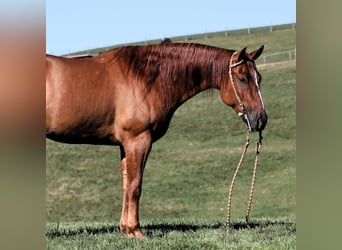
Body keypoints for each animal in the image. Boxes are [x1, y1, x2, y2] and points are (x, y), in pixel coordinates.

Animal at [45, 42, 268, 236]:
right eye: (242, 78)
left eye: (259, 78)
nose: (261, 119)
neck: (145, 79)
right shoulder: (138, 140)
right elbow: (135, 186)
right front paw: (135, 230)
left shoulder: (125, 146)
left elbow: (126, 185)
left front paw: (125, 229)